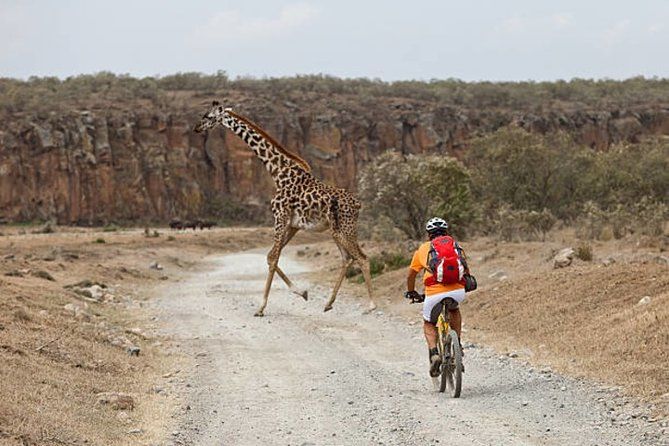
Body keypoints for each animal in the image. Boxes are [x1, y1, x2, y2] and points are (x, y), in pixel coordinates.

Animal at [193, 101, 376, 318]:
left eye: (208, 116)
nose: (196, 128)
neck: (277, 172)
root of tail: (358, 204)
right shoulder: (293, 225)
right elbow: (270, 256)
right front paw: (303, 292)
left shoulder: (280, 218)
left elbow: (273, 258)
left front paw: (261, 307)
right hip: (336, 231)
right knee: (347, 259)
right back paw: (328, 303)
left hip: (345, 229)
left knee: (362, 258)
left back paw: (371, 305)